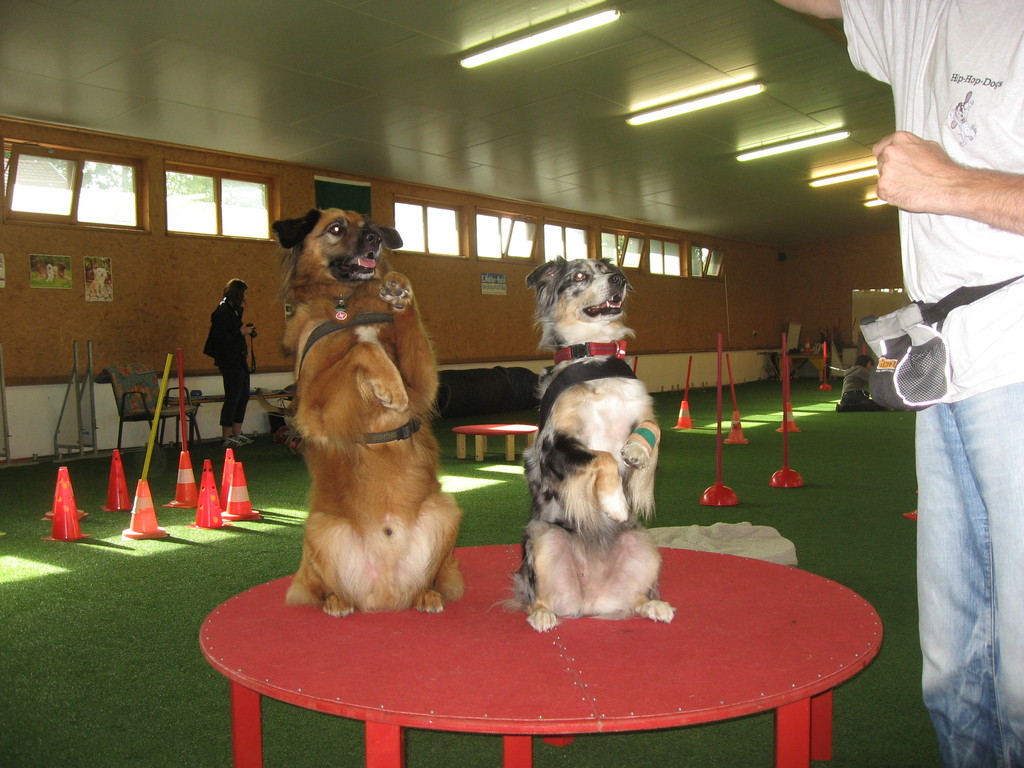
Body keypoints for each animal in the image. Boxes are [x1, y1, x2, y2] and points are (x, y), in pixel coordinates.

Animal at [272, 210, 464, 618]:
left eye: (369, 225)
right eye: (336, 228)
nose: (375, 239)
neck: (345, 302)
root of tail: (385, 597)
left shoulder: (423, 383)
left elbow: (402, 335)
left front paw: (398, 290)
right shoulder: (313, 408)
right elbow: (362, 351)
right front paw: (389, 387)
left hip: (445, 510)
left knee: (430, 580)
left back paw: (427, 595)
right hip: (320, 527)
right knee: (321, 589)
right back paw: (337, 601)